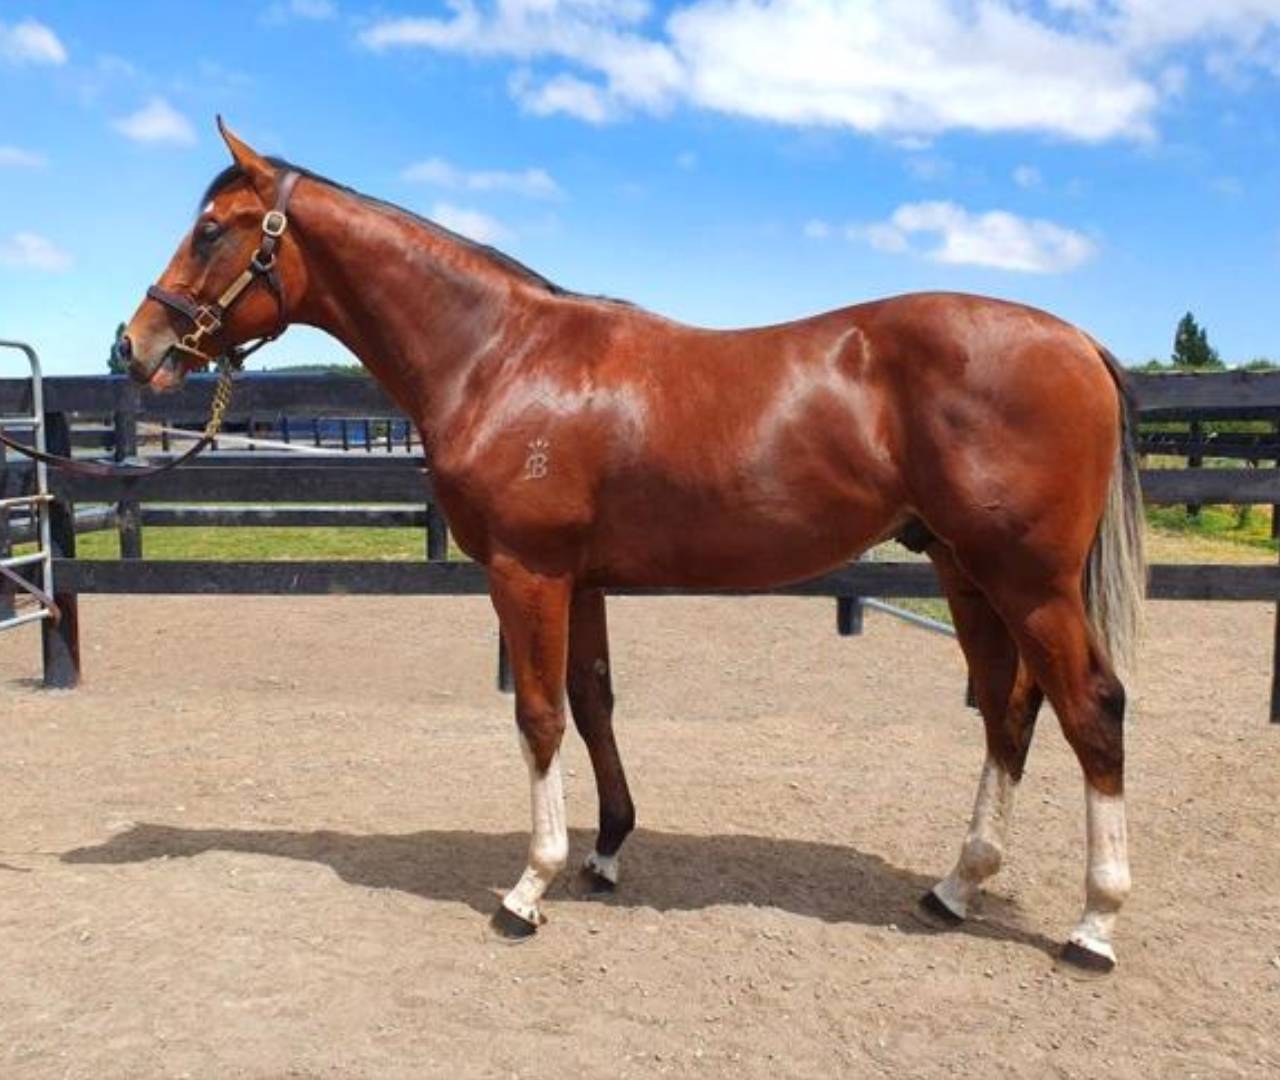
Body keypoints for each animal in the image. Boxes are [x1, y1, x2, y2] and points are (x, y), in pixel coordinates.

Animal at [120, 119, 1145, 975]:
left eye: (212, 230)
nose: (135, 346)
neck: (500, 356)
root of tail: (1079, 342)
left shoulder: (527, 573)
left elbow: (538, 716)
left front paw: (528, 886)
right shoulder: (583, 581)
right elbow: (593, 703)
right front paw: (606, 851)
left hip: (1029, 580)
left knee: (1091, 708)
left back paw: (1095, 924)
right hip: (964, 571)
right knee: (1009, 710)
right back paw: (956, 886)